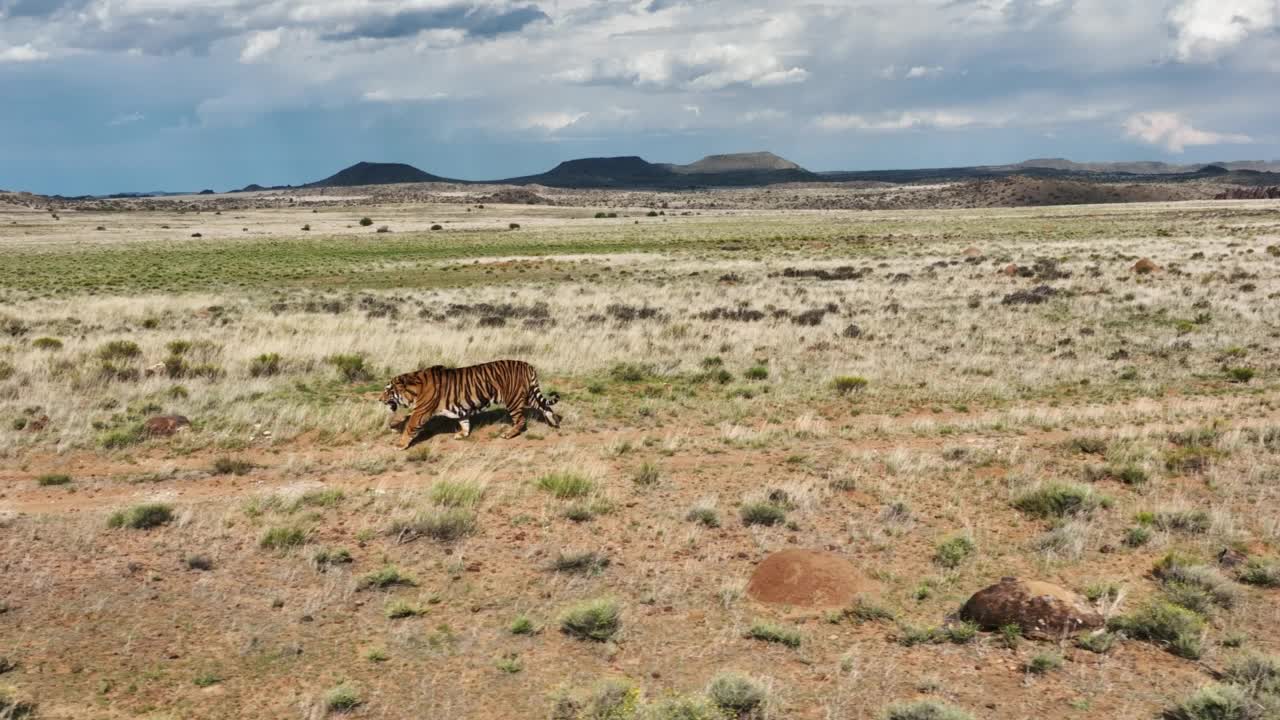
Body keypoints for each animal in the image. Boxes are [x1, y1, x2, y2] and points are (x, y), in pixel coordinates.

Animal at [378, 358, 560, 448]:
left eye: (388, 390)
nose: (379, 399)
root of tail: (527, 365)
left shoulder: (420, 412)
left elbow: (409, 427)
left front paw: (400, 444)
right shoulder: (459, 407)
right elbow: (464, 421)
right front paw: (462, 434)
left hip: (513, 399)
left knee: (521, 419)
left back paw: (508, 434)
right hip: (528, 395)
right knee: (546, 406)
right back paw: (554, 423)